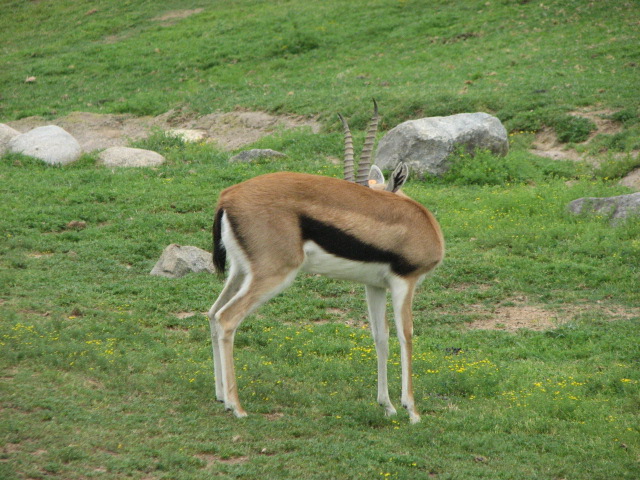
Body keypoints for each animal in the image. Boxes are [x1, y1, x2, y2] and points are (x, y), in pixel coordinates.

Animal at [208, 101, 444, 423]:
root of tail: (227, 197)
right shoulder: (404, 282)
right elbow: (405, 335)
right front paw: (412, 410)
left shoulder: (375, 286)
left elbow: (380, 337)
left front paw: (387, 406)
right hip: (273, 275)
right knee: (227, 318)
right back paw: (238, 407)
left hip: (241, 271)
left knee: (212, 313)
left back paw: (221, 397)